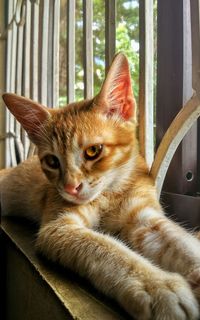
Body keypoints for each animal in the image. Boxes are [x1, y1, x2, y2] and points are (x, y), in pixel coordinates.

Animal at [0, 53, 200, 318]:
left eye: (93, 151)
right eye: (52, 161)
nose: (70, 187)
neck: (110, 193)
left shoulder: (144, 218)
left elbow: (180, 241)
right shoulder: (59, 226)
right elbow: (106, 248)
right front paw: (157, 287)